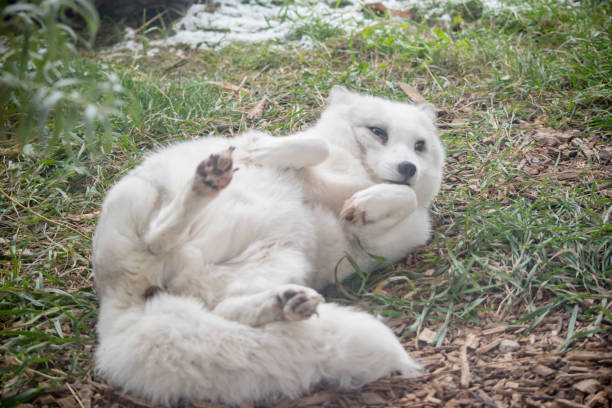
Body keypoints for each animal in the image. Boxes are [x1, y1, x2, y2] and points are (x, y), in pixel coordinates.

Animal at [92, 85, 444, 404]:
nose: (408, 168)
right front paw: (267, 151)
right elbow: (316, 144)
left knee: (224, 308)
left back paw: (284, 303)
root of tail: (120, 308)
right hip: (136, 197)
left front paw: (369, 203)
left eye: (420, 146)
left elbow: (408, 198)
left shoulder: (377, 243)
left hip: (280, 258)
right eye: (378, 132)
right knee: (155, 238)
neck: (358, 175)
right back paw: (206, 183)